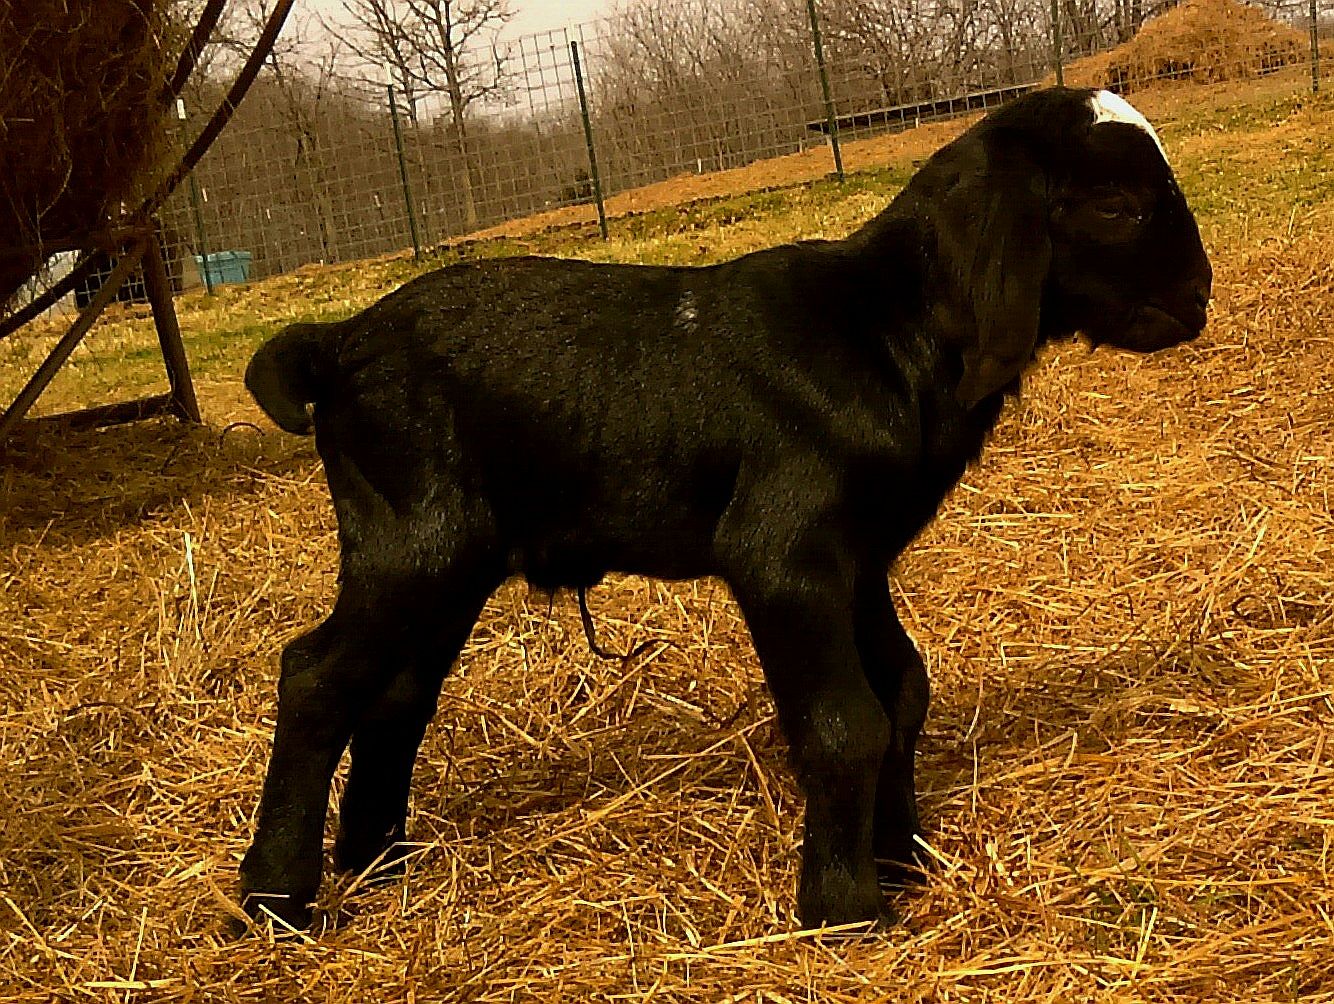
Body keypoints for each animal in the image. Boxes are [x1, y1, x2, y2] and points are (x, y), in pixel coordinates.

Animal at [239, 87, 1212, 931]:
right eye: (1116, 205)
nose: (1199, 297)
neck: (884, 332)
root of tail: (334, 345)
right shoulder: (784, 554)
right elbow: (844, 720)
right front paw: (844, 905)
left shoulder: (860, 558)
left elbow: (900, 690)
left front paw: (902, 858)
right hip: (411, 541)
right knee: (316, 675)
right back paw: (278, 897)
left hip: (449, 562)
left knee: (395, 690)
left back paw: (378, 863)